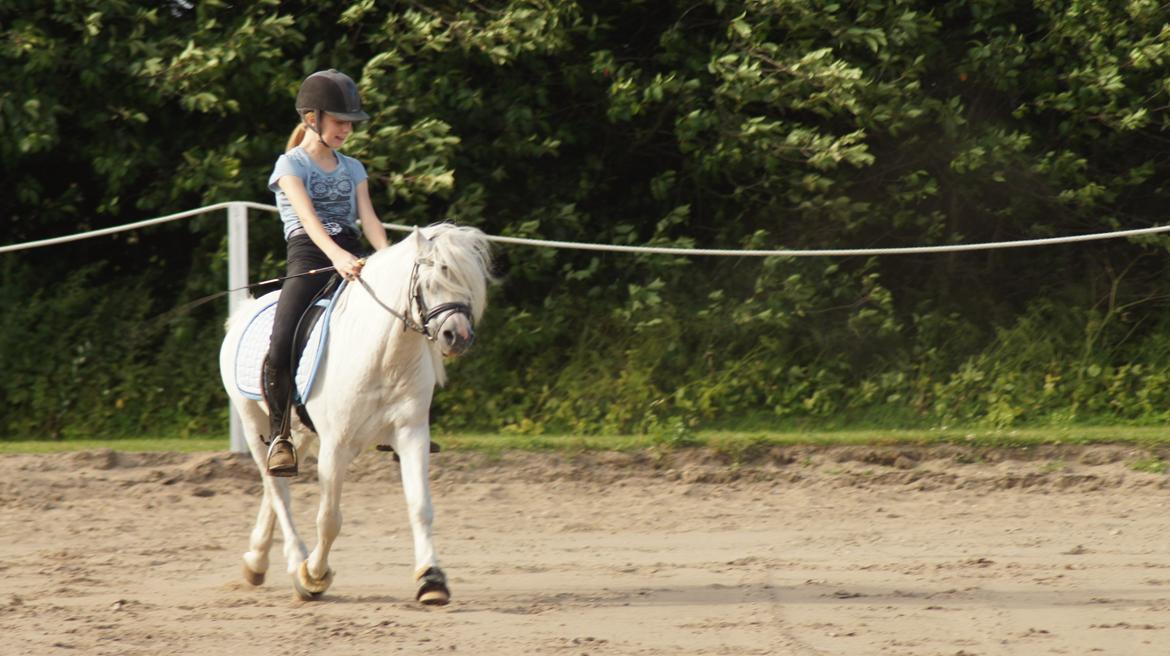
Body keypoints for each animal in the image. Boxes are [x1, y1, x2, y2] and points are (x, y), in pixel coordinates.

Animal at [218, 223, 489, 603]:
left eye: (469, 281)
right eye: (431, 280)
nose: (458, 336)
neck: (385, 355)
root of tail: (244, 311)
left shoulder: (411, 434)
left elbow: (421, 507)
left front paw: (432, 580)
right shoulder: (336, 445)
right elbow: (329, 518)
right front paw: (313, 577)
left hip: (297, 431)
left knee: (276, 485)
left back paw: (256, 562)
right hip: (251, 422)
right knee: (278, 489)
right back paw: (296, 562)